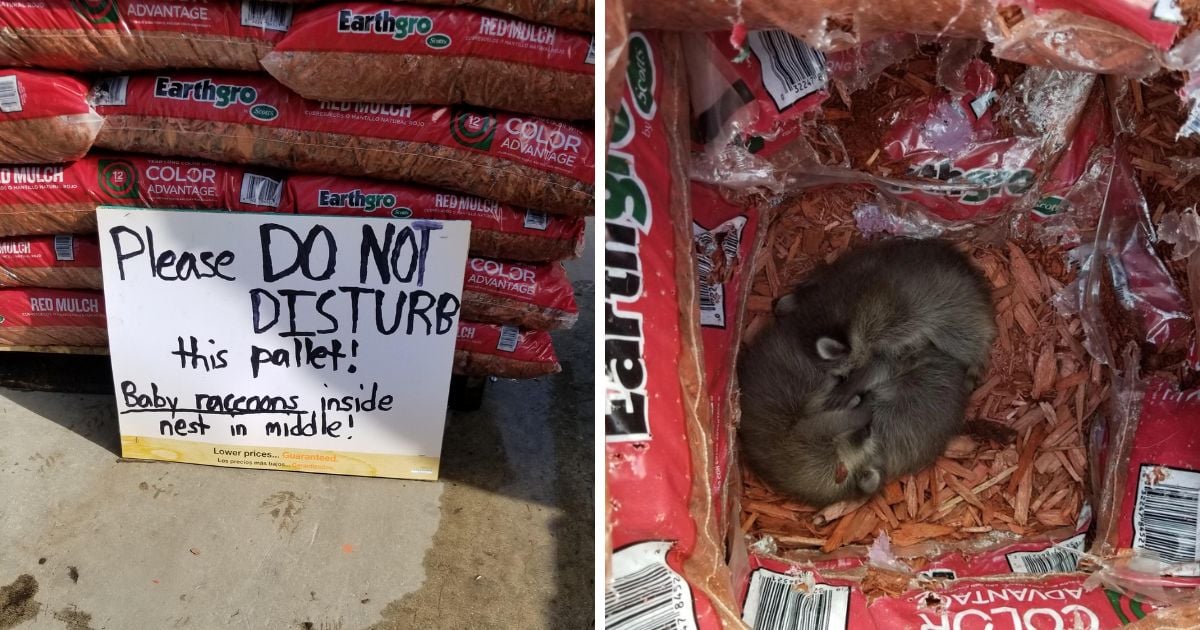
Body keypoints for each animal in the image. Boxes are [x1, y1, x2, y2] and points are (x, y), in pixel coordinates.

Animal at [777, 237, 993, 408]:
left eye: (842, 376)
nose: (843, 381)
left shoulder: (890, 326)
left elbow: (887, 363)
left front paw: (855, 383)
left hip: (955, 311)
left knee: (962, 340)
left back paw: (975, 359)